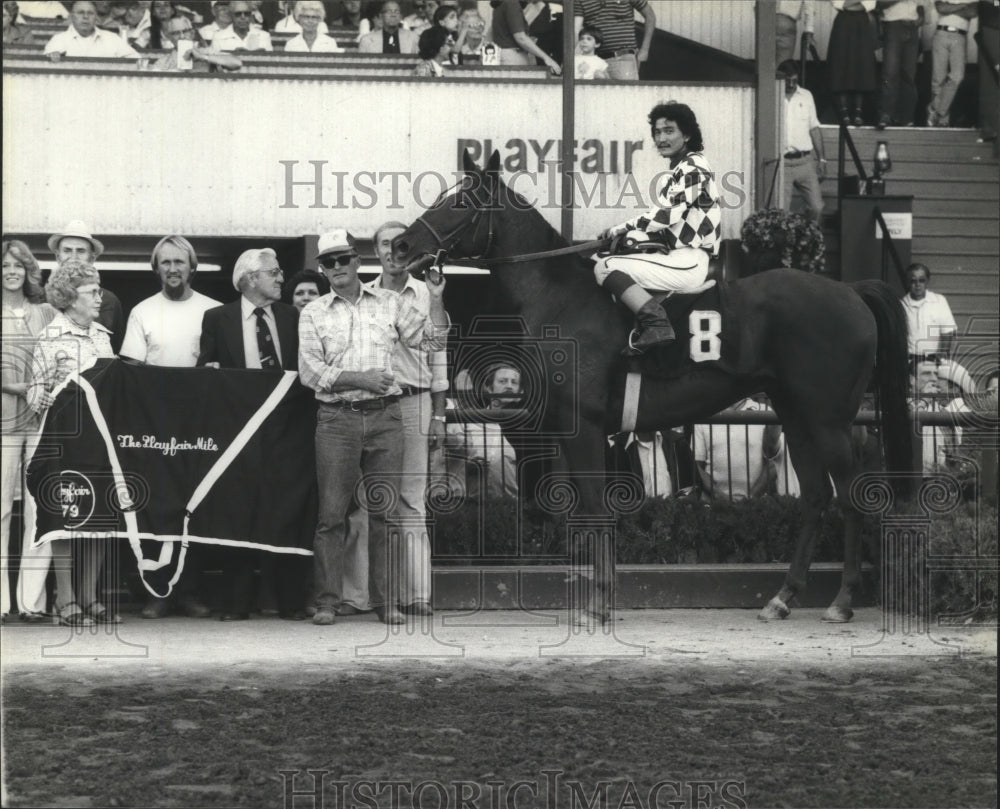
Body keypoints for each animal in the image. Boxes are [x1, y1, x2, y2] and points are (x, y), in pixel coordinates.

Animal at [394, 155, 912, 628]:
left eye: (460, 202)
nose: (401, 244)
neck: (560, 296)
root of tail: (850, 292)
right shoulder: (567, 430)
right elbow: (579, 511)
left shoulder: (583, 426)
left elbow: (595, 509)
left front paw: (600, 603)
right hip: (796, 416)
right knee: (815, 498)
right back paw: (782, 598)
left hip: (829, 420)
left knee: (849, 499)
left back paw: (842, 601)